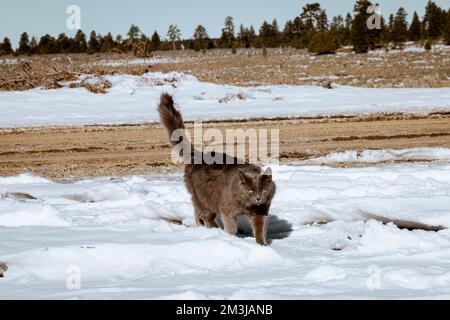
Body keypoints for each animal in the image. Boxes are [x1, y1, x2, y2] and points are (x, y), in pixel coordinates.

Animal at [156, 92, 276, 245]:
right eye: (250, 190)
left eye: (264, 190)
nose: (259, 198)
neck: (247, 206)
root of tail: (198, 155)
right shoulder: (227, 209)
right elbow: (231, 227)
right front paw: (231, 237)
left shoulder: (262, 211)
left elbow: (260, 229)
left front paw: (262, 244)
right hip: (203, 197)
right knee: (205, 215)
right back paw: (213, 230)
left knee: (199, 214)